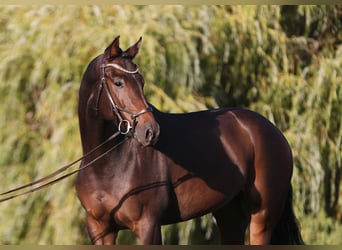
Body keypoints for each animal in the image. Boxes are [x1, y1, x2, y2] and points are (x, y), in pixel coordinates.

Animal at [76, 36, 304, 245]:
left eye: (141, 82)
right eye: (118, 83)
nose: (150, 131)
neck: (107, 166)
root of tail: (273, 131)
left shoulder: (148, 225)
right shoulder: (101, 230)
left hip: (262, 215)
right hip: (228, 213)